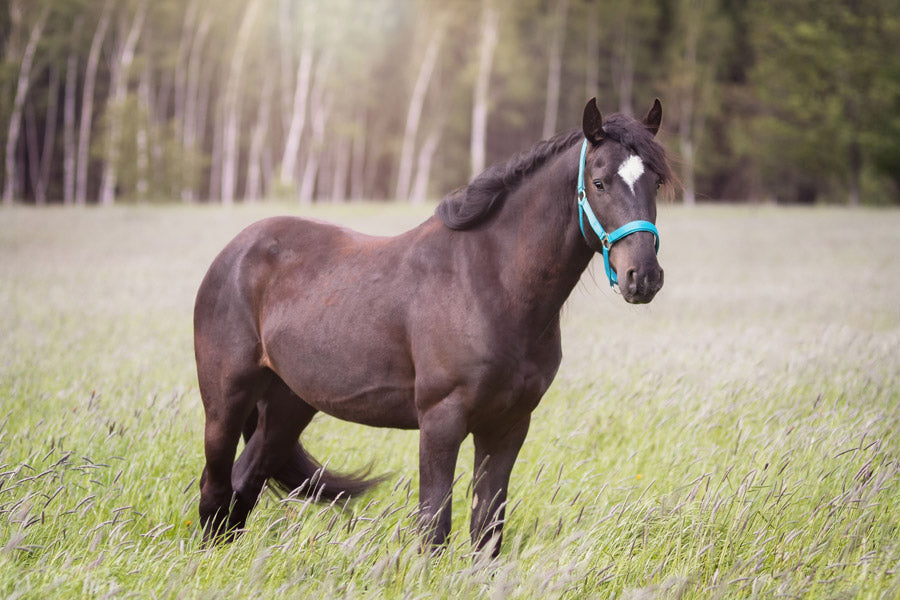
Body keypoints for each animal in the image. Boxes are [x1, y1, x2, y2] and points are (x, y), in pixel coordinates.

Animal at [199, 97, 676, 552]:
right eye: (599, 182)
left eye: (655, 182)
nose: (643, 277)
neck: (491, 284)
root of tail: (235, 250)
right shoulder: (441, 422)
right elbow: (434, 528)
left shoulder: (508, 426)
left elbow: (487, 530)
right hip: (226, 399)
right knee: (215, 486)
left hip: (288, 405)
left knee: (244, 483)